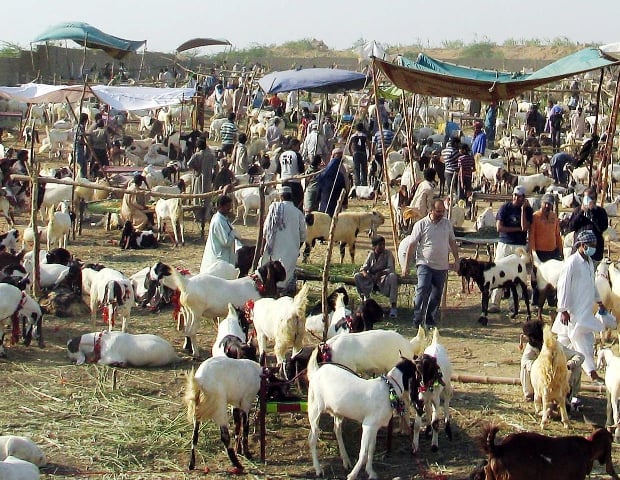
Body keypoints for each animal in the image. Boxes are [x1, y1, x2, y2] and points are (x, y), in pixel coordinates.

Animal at [150, 260, 286, 358]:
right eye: (278, 267)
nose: (285, 275)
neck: (257, 284)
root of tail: (187, 283)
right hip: (196, 312)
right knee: (192, 331)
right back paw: (196, 354)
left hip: (188, 312)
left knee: (186, 330)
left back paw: (189, 348)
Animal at [306, 348, 416, 480]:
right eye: (416, 370)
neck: (389, 388)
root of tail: (317, 372)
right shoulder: (368, 425)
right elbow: (363, 453)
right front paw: (352, 475)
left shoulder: (375, 427)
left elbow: (371, 449)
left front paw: (371, 472)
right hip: (314, 409)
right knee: (312, 438)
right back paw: (318, 469)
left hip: (337, 412)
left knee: (336, 430)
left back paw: (346, 461)